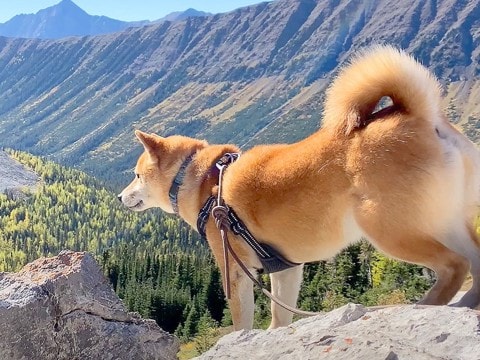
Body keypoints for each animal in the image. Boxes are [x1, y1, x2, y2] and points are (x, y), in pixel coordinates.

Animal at [118, 46, 480, 330]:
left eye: (136, 175)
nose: (120, 196)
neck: (204, 178)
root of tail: (423, 116)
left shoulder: (235, 272)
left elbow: (241, 322)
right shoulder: (286, 270)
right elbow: (280, 317)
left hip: (390, 229)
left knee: (454, 266)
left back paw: (427, 305)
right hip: (445, 223)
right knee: (474, 261)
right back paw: (467, 305)